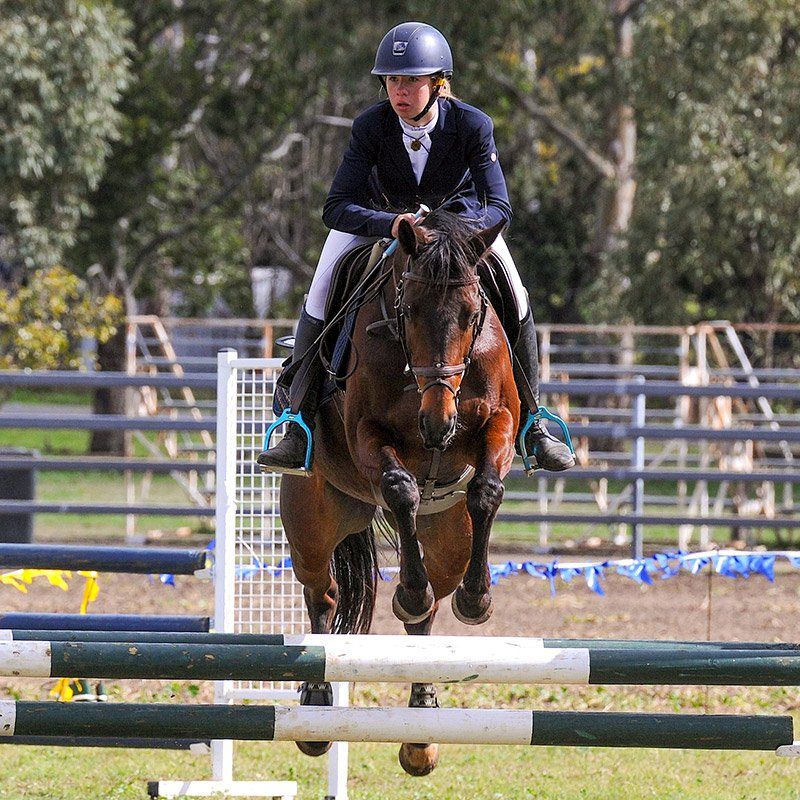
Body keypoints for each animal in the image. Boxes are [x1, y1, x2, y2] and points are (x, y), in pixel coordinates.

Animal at [280, 209, 520, 780]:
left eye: (473, 313)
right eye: (408, 310)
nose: (437, 424)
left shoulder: (500, 421)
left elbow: (487, 489)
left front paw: (477, 600)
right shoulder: (367, 434)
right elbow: (401, 488)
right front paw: (408, 592)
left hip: (449, 535)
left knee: (433, 601)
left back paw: (420, 729)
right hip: (310, 523)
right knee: (323, 595)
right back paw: (316, 708)